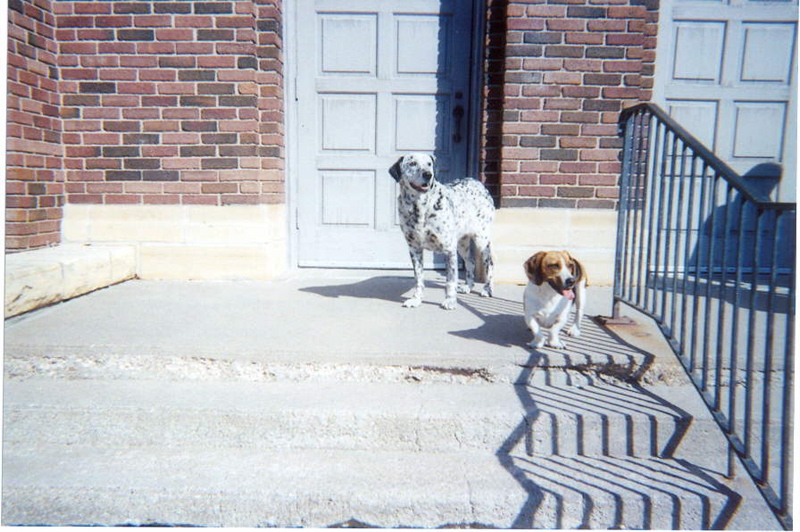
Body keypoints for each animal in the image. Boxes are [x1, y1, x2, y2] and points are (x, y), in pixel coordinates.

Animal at [390, 152, 494, 310]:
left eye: (429, 163)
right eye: (412, 163)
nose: (428, 174)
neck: (420, 207)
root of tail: (478, 183)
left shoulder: (449, 249)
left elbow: (450, 280)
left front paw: (450, 301)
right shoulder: (414, 249)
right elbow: (418, 279)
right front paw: (416, 299)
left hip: (481, 240)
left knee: (490, 264)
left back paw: (487, 289)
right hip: (462, 244)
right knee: (470, 261)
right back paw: (468, 286)